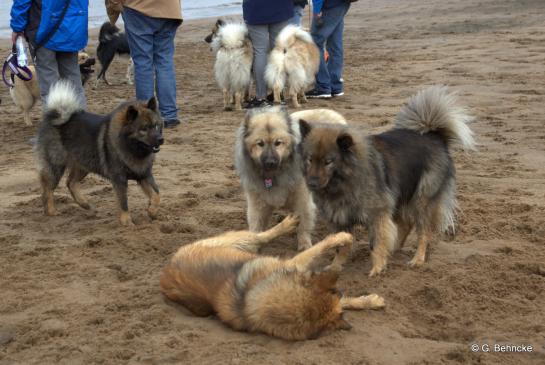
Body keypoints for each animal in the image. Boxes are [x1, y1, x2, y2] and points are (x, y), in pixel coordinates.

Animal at [34, 81, 163, 225]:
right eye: (144, 129)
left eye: (156, 126)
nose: (160, 139)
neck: (130, 147)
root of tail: (55, 116)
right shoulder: (119, 179)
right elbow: (123, 202)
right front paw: (127, 222)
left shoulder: (144, 175)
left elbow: (157, 194)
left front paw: (152, 211)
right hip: (56, 166)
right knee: (48, 189)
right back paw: (51, 211)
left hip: (84, 164)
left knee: (70, 183)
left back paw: (84, 203)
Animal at [159, 215, 384, 340]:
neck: (249, 302)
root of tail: (166, 270)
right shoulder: (294, 264)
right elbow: (320, 248)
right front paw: (342, 238)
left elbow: (345, 301)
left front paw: (369, 301)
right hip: (239, 240)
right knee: (261, 235)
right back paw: (287, 224)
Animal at [298, 84, 476, 272]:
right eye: (310, 159)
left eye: (328, 162)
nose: (312, 183)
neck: (345, 181)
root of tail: (433, 136)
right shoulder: (340, 219)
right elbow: (341, 247)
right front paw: (335, 266)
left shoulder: (377, 214)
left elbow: (377, 244)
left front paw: (377, 268)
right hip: (398, 198)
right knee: (406, 225)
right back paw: (395, 249)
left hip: (421, 201)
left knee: (423, 233)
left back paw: (418, 259)